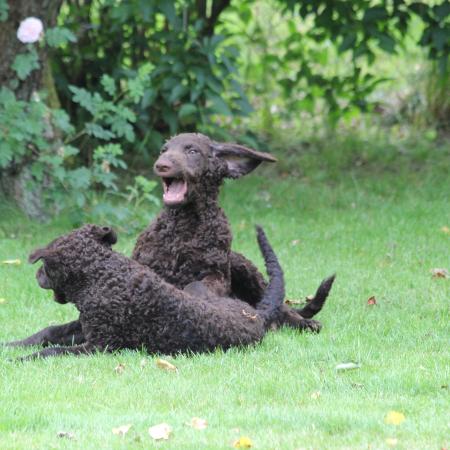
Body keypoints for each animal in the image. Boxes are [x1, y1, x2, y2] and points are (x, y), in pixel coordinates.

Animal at [20, 224, 284, 358]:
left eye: (44, 266)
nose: (36, 275)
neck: (103, 274)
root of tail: (256, 314)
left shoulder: (99, 346)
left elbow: (52, 351)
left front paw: (21, 359)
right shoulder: (84, 327)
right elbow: (46, 334)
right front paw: (15, 345)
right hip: (195, 287)